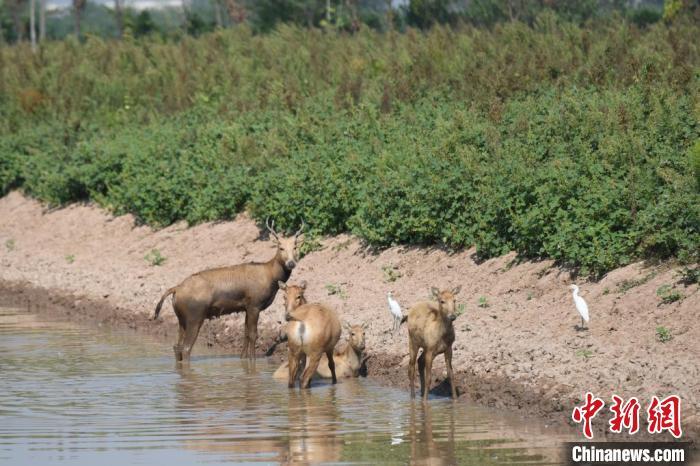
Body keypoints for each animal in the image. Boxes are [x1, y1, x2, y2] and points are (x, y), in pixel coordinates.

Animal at [152, 217, 304, 362]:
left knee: (176, 346)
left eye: (295, 247)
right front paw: (253, 360)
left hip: (181, 319)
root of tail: (176, 289)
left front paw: (243, 359)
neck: (271, 277)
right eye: (281, 247)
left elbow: (245, 334)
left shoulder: (246, 307)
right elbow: (253, 335)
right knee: (186, 348)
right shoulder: (254, 304)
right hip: (194, 316)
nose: (291, 263)